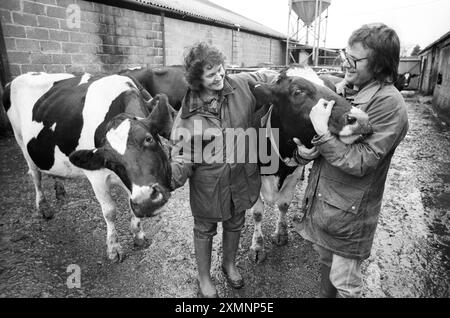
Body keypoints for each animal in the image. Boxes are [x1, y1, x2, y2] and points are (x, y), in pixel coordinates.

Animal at [3, 71, 176, 260]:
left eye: (148, 139)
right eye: (109, 161)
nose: (147, 203)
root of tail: (14, 80)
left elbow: (131, 208)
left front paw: (139, 236)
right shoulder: (97, 176)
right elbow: (109, 211)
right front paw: (113, 248)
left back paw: (59, 189)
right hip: (21, 141)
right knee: (35, 175)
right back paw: (43, 207)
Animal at [248, 66, 370, 262]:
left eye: (333, 91)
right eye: (298, 91)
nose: (360, 118)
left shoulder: (293, 173)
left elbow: (283, 205)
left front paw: (281, 234)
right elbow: (258, 212)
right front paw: (258, 246)